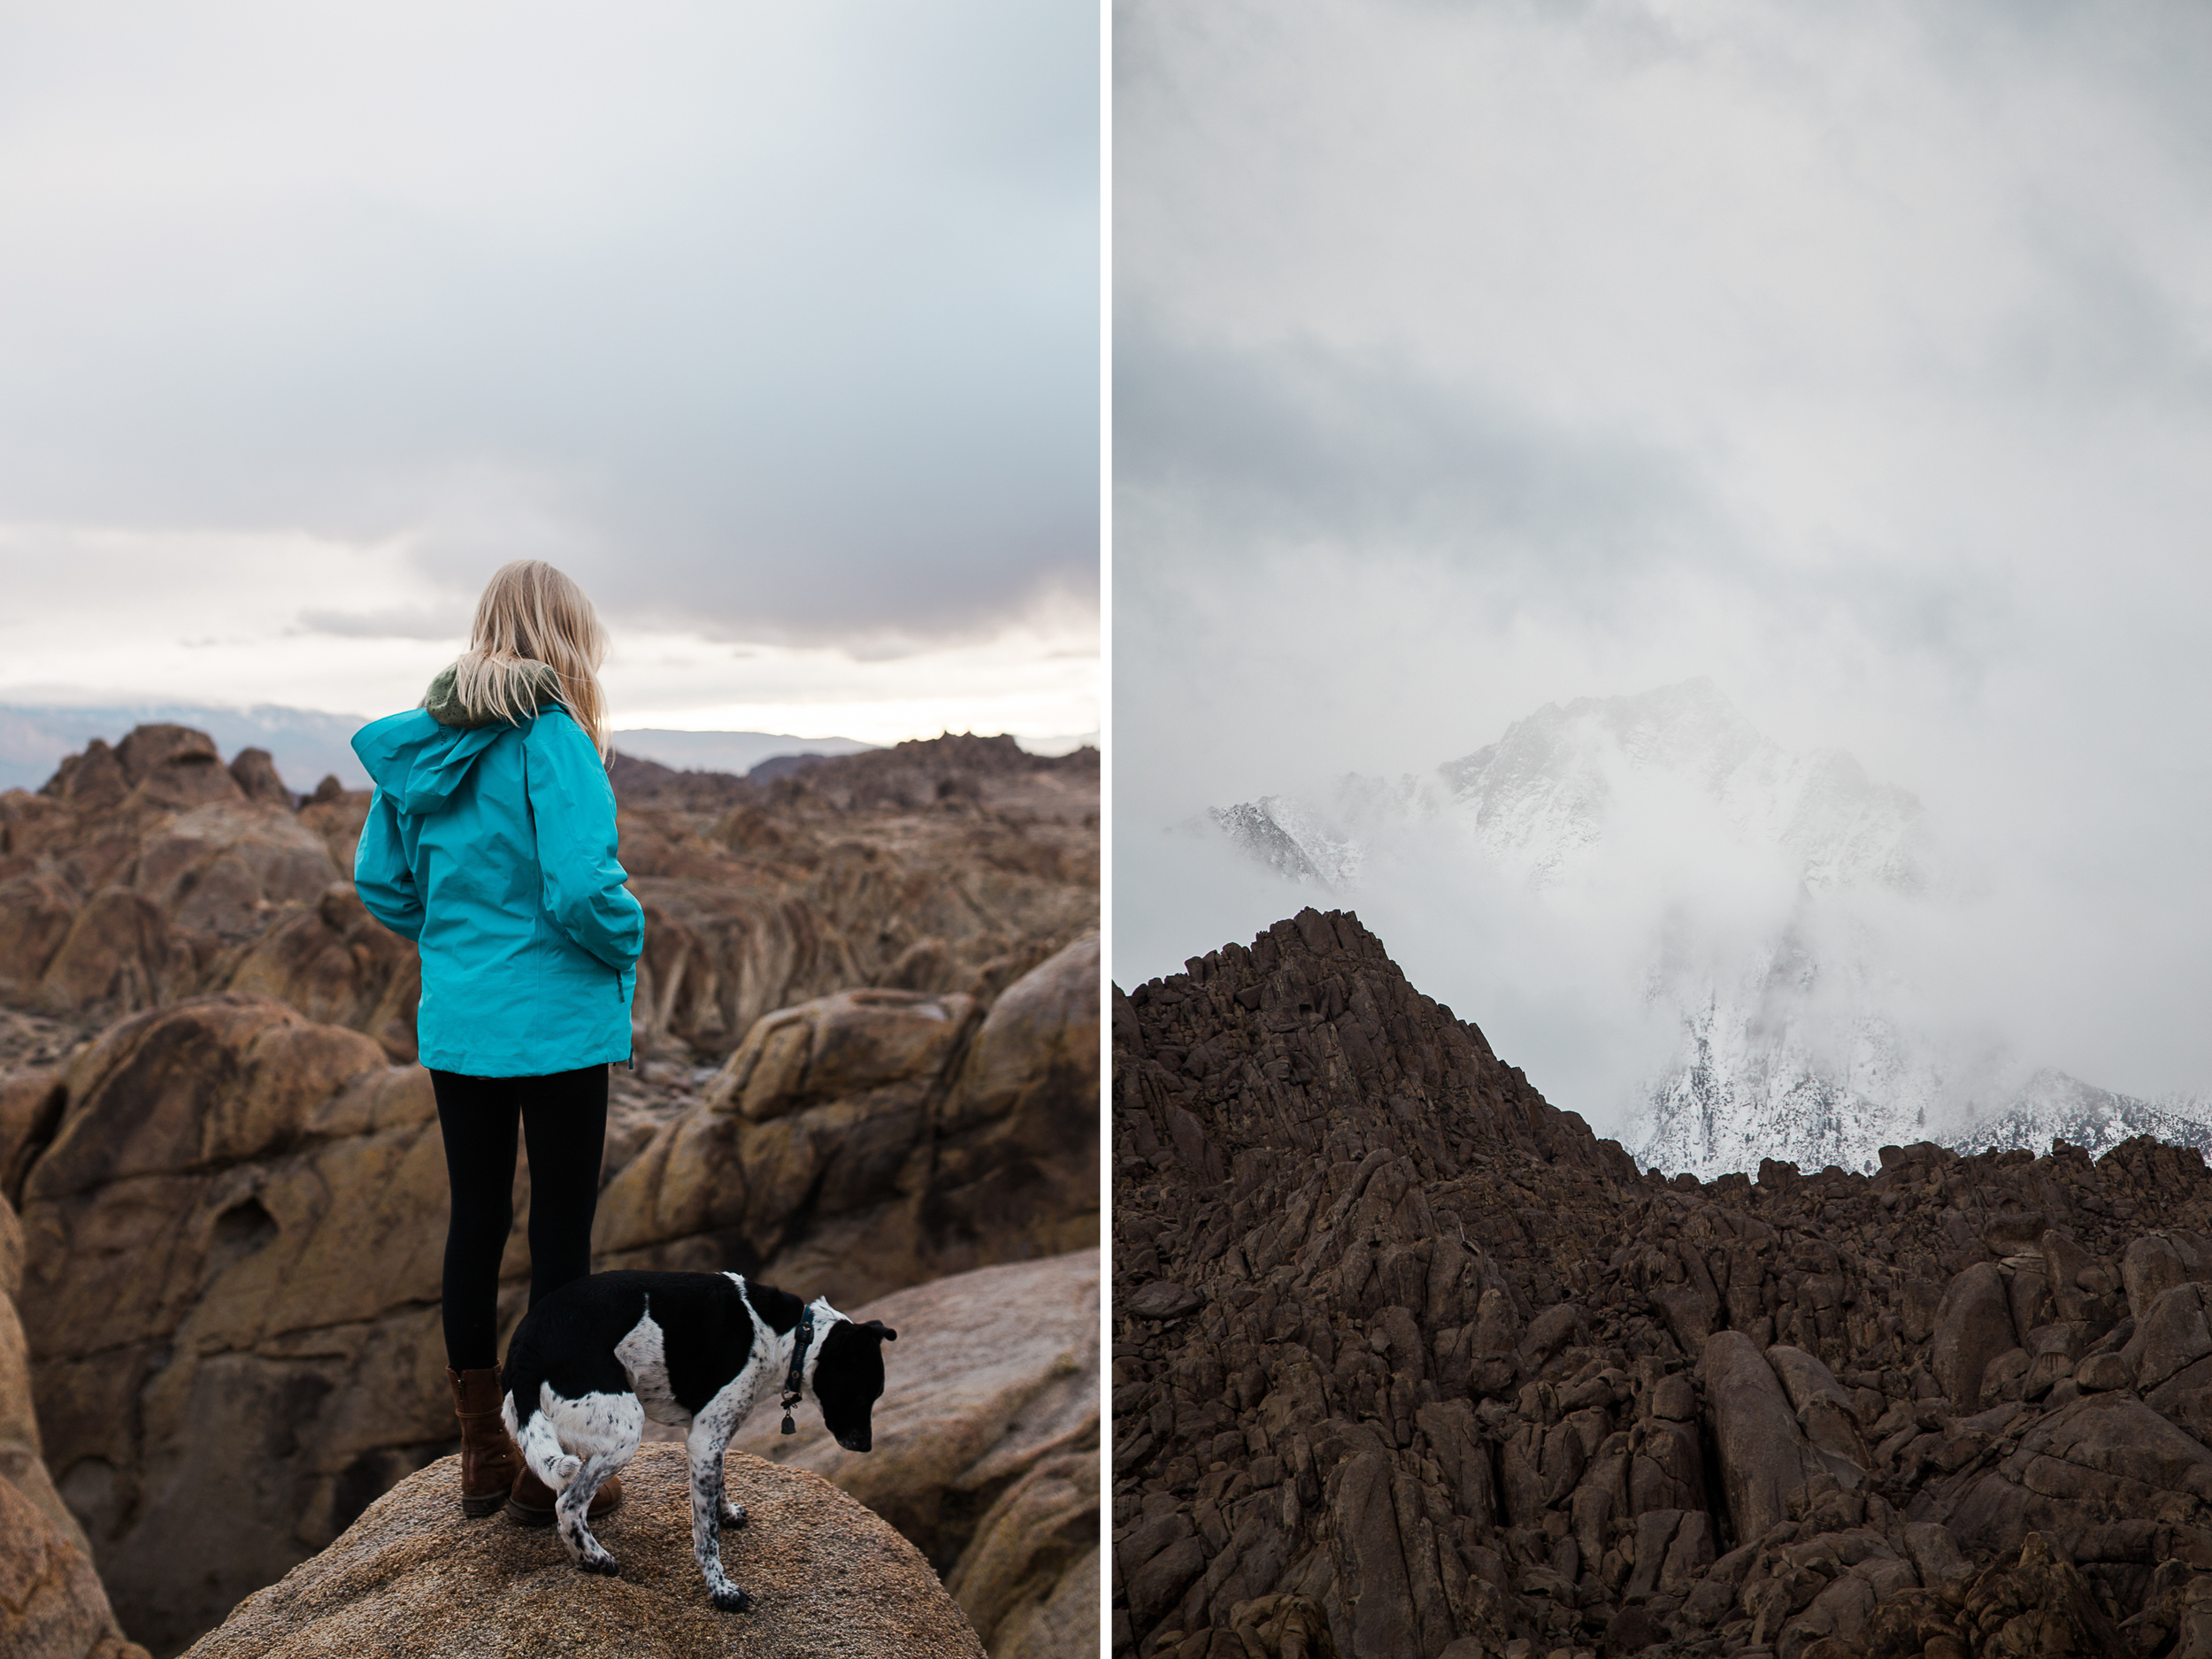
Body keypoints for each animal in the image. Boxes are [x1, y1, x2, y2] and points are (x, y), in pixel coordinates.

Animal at [504, 1283, 898, 1619]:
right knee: (568, 1504)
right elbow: (706, 1536)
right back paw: (595, 1559)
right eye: (864, 1394)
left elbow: (717, 1489)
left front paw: (728, 1512)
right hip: (624, 1431)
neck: (788, 1335)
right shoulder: (704, 1439)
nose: (866, 1445)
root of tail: (525, 1347)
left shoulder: (710, 1438)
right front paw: (720, 1589)